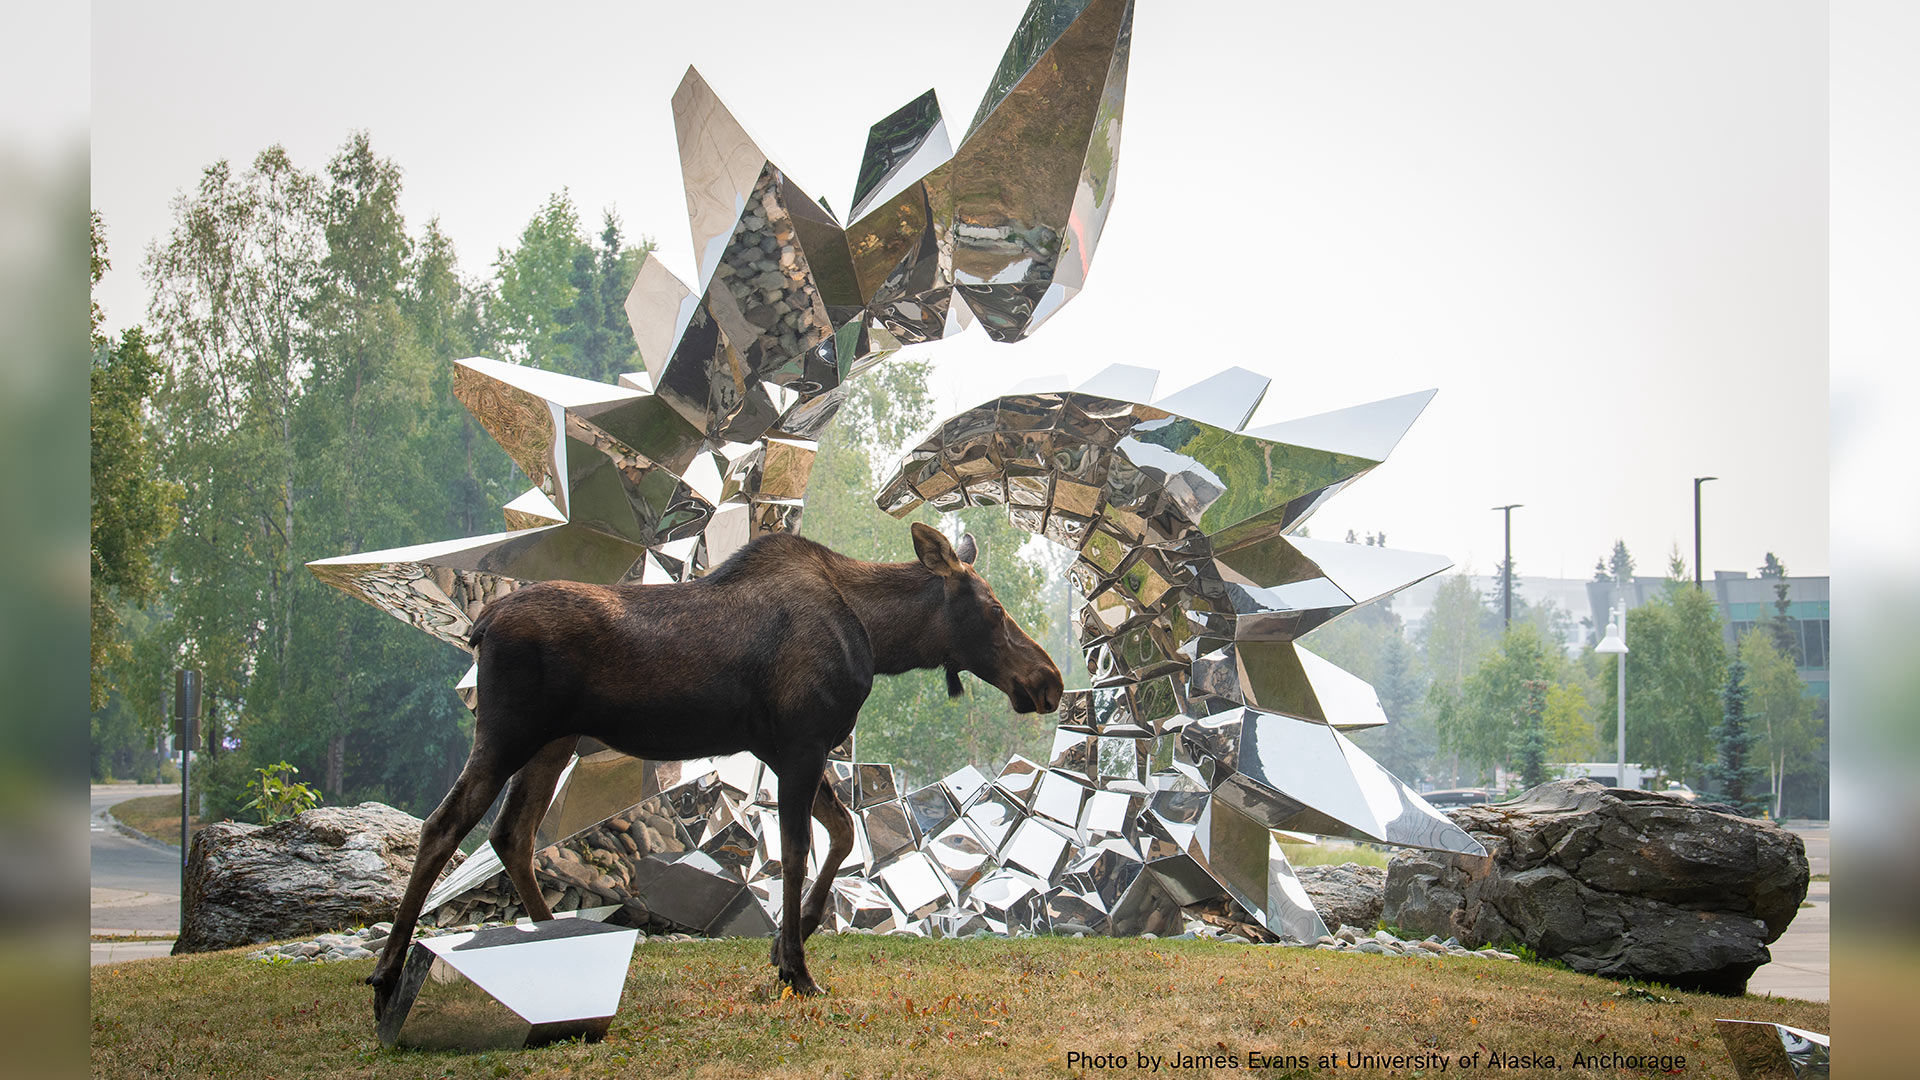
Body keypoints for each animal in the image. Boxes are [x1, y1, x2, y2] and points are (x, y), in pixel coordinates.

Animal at [370, 518, 1067, 1014]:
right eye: (996, 610)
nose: (1050, 682)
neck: (880, 637)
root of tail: (482, 623)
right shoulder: (800, 745)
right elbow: (797, 853)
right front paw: (796, 969)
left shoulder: (785, 749)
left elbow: (841, 835)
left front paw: (793, 939)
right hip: (508, 733)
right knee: (444, 825)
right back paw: (385, 973)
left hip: (552, 742)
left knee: (510, 832)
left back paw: (558, 947)